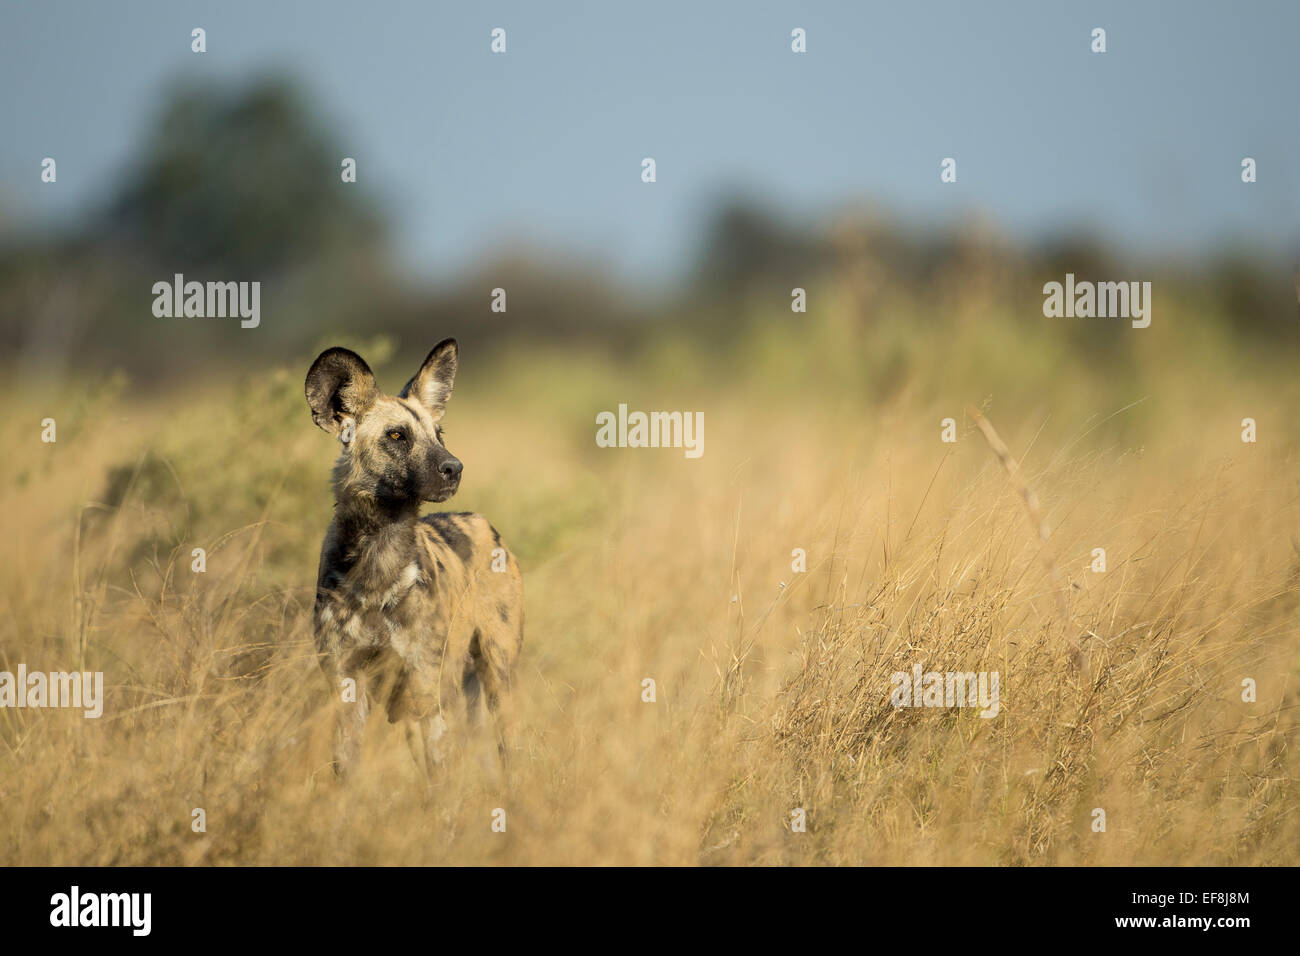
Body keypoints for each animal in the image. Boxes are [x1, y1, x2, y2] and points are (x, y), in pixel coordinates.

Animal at [304, 335, 522, 780]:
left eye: (438, 433)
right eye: (397, 436)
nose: (455, 467)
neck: (378, 563)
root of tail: (485, 523)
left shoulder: (424, 687)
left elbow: (440, 782)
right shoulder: (348, 689)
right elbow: (347, 774)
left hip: (496, 678)